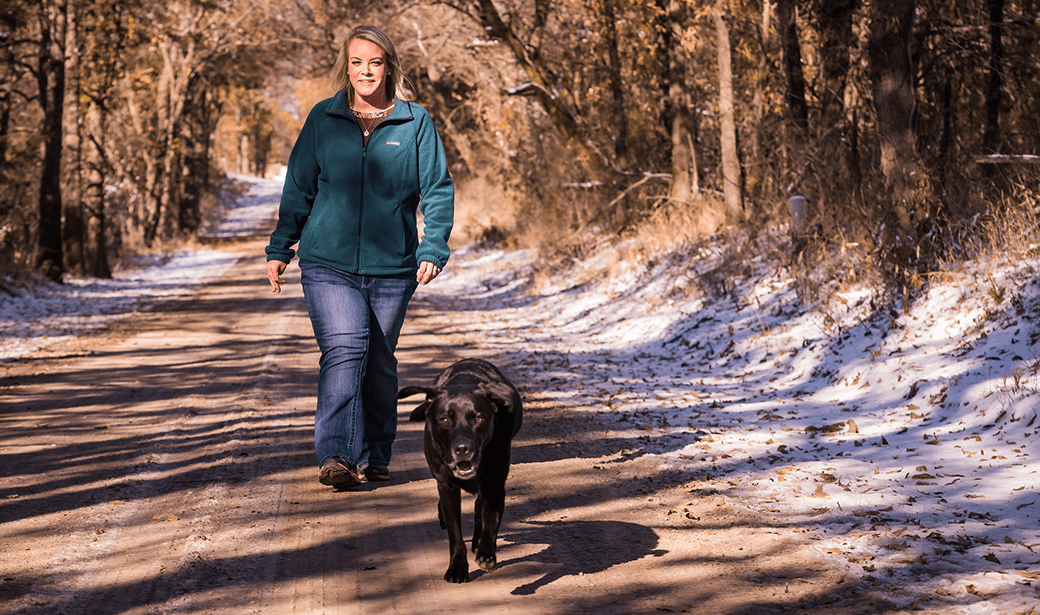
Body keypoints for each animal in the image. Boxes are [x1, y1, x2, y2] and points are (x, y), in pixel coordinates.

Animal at [401, 357, 524, 582]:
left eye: (479, 419)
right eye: (445, 419)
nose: (462, 449)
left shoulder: (495, 484)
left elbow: (490, 520)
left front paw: (486, 553)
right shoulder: (447, 486)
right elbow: (455, 532)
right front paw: (457, 568)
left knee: (479, 505)